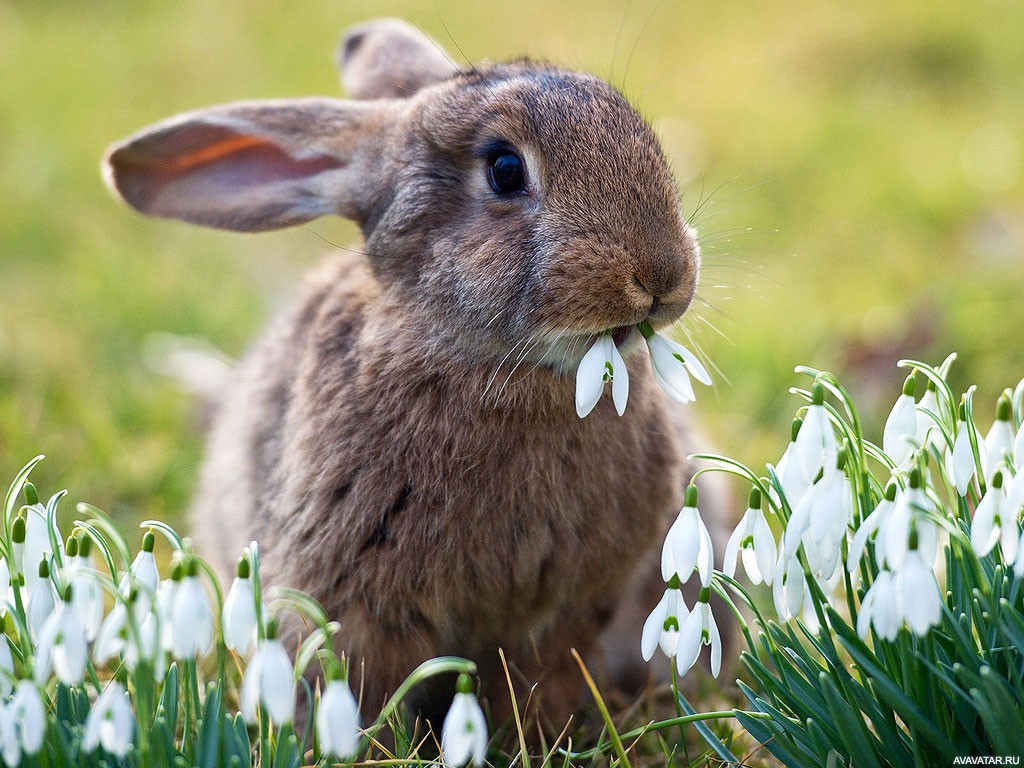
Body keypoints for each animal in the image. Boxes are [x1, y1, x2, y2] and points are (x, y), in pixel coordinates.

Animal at [101, 18, 729, 737]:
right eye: (504, 169)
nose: (665, 274)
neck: (493, 366)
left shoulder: (573, 607)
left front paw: (536, 735)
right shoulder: (354, 602)